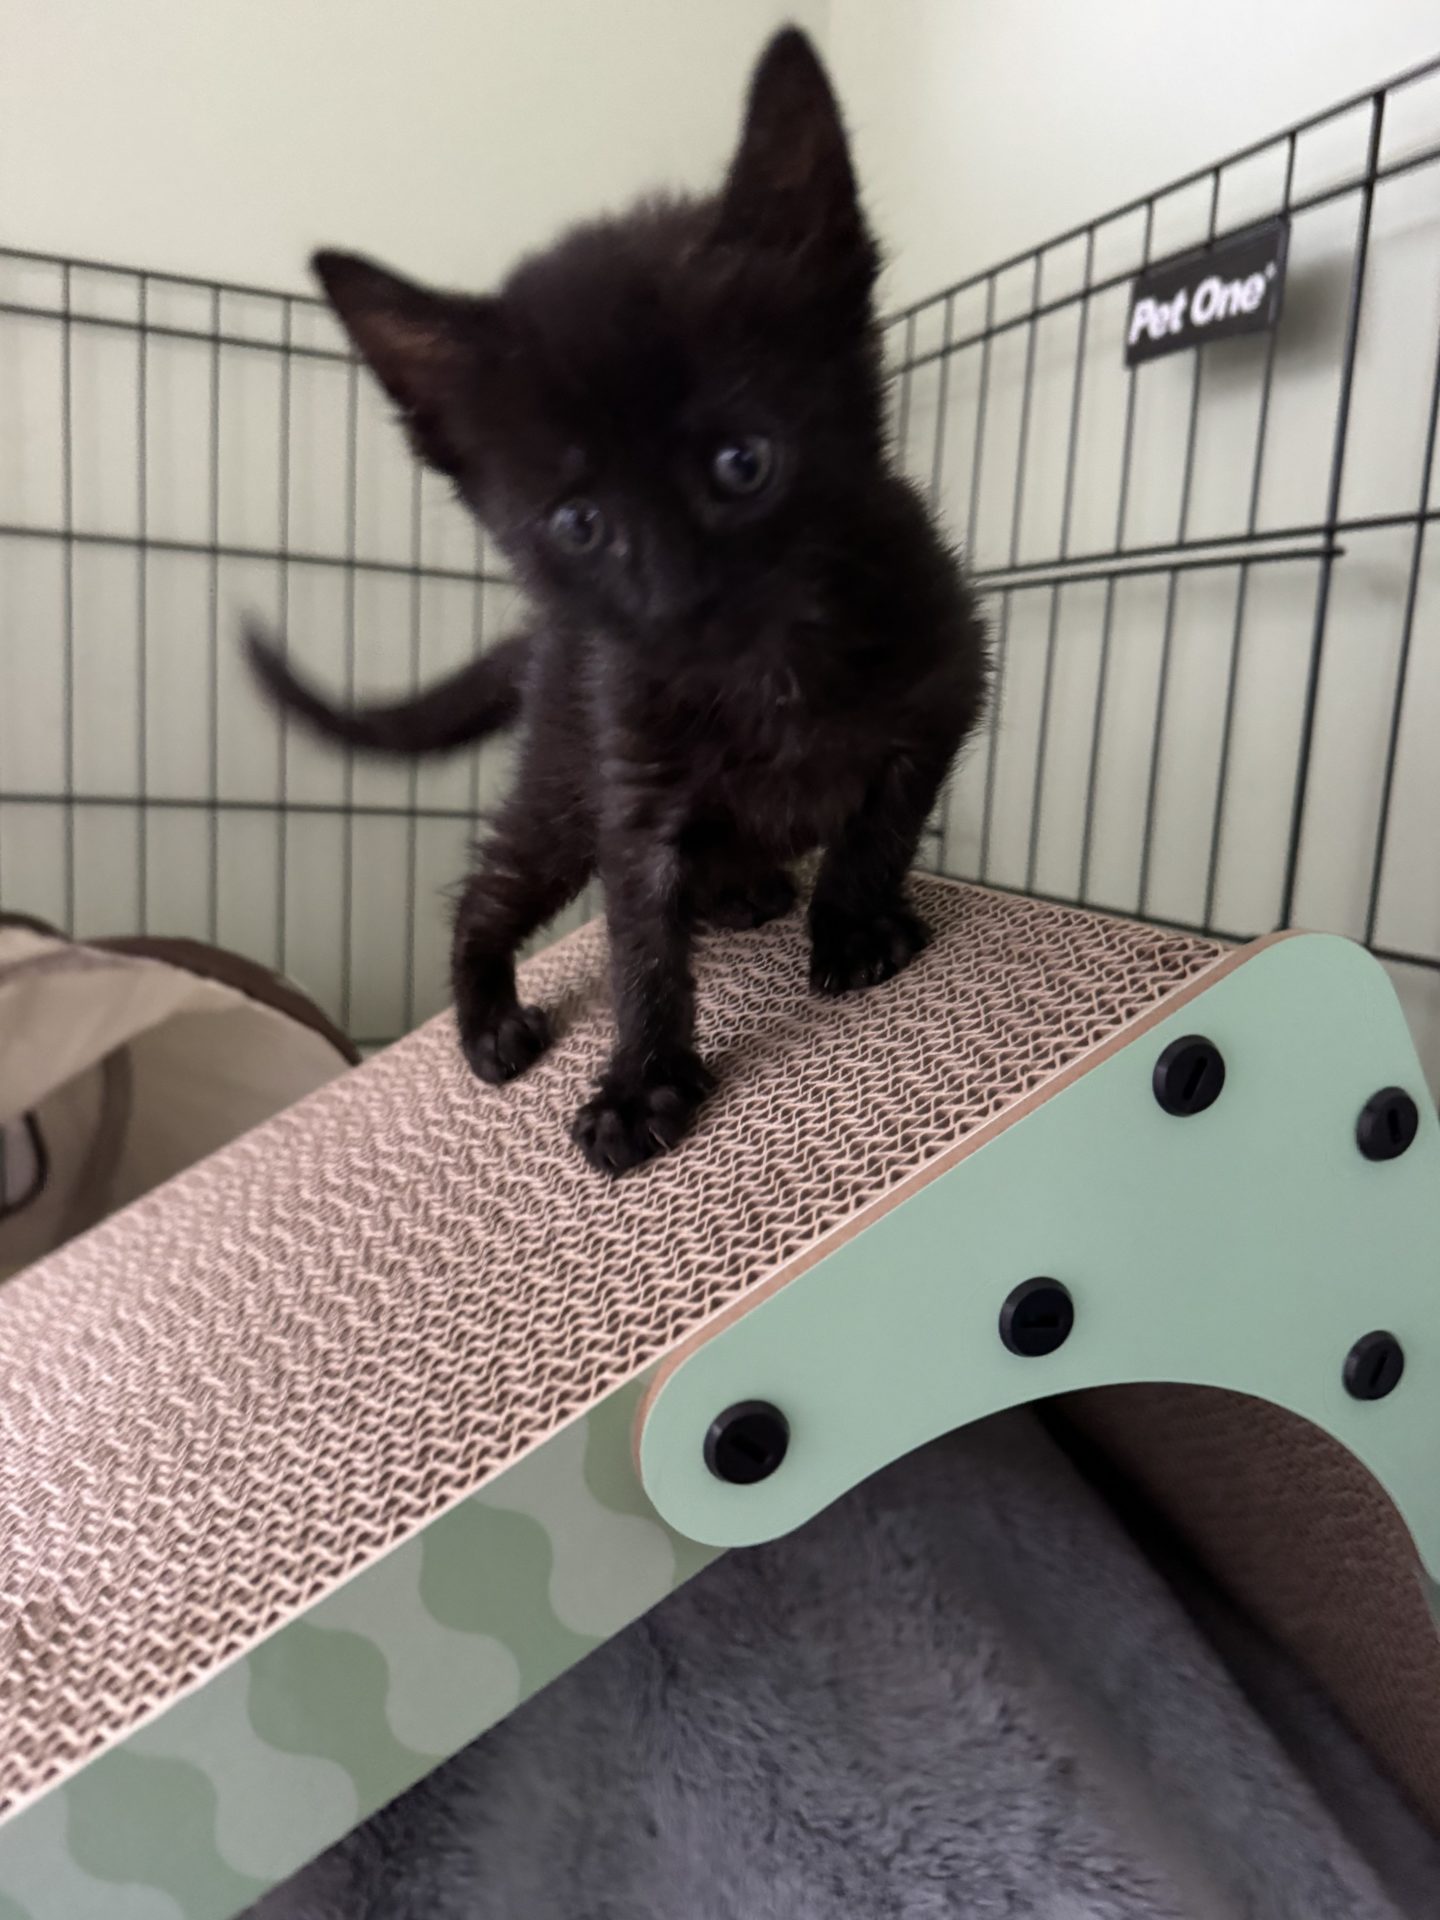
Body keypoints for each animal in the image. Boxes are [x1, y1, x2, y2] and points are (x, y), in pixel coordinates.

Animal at [246, 26, 987, 1176]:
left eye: (742, 462)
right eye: (579, 522)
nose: (679, 600)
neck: (768, 677)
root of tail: (546, 641)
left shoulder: (949, 677)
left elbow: (882, 823)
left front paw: (857, 927)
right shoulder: (633, 784)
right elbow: (642, 943)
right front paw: (642, 1082)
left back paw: (744, 889)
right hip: (565, 777)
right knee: (490, 889)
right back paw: (490, 1018)